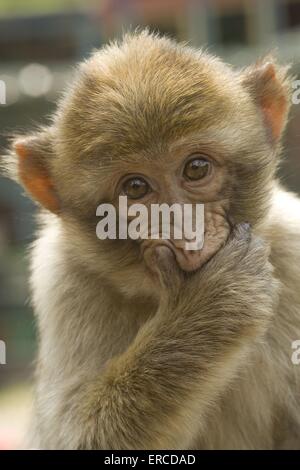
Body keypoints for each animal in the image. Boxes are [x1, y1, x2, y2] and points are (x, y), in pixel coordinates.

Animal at [1, 31, 300, 450]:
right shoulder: (63, 283)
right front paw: (212, 305)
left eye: (196, 168)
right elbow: (74, 436)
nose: (186, 231)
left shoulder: (291, 247)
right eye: (136, 188)